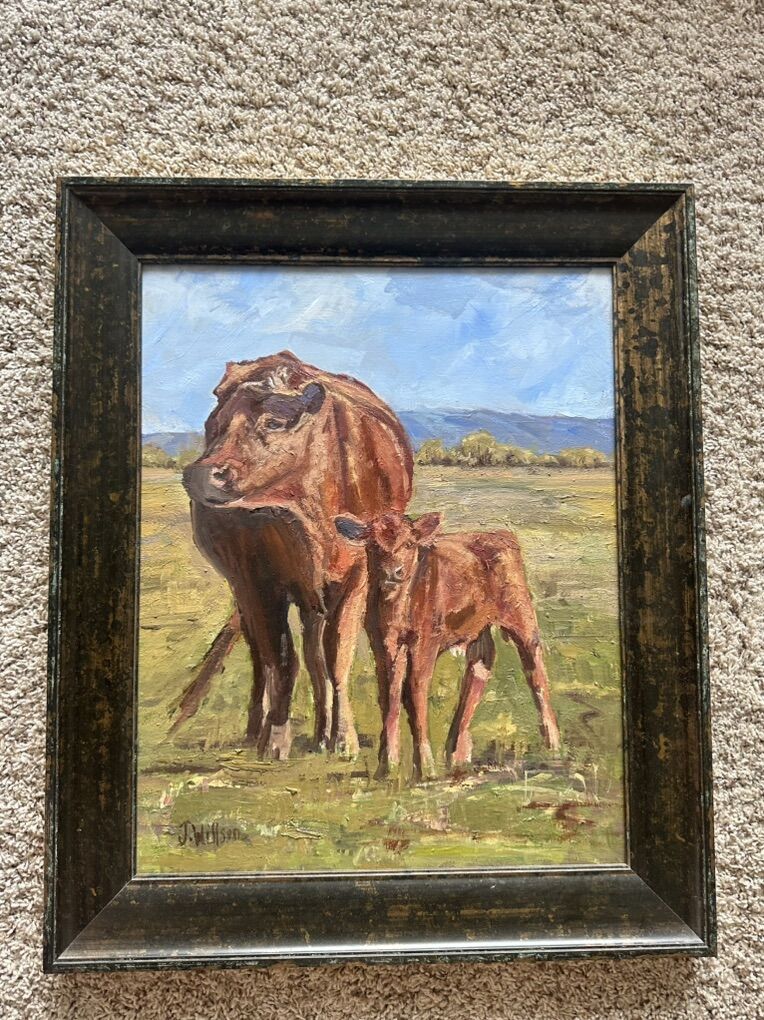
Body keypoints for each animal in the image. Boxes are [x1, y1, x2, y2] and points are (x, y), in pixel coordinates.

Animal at [181, 352, 413, 760]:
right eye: (215, 426)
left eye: (273, 422)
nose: (201, 474)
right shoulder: (256, 581)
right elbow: (281, 658)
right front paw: (275, 738)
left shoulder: (357, 576)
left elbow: (337, 656)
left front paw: (343, 739)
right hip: (258, 592)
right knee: (266, 656)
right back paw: (257, 728)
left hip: (311, 598)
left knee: (315, 654)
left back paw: (322, 731)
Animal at [335, 511, 561, 780]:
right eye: (373, 545)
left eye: (409, 544)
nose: (393, 572)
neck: (396, 608)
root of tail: (500, 535)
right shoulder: (382, 642)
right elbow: (389, 694)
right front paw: (386, 766)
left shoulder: (424, 642)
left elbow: (415, 690)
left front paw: (425, 767)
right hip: (477, 629)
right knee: (480, 667)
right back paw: (457, 753)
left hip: (521, 618)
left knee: (535, 672)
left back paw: (553, 744)